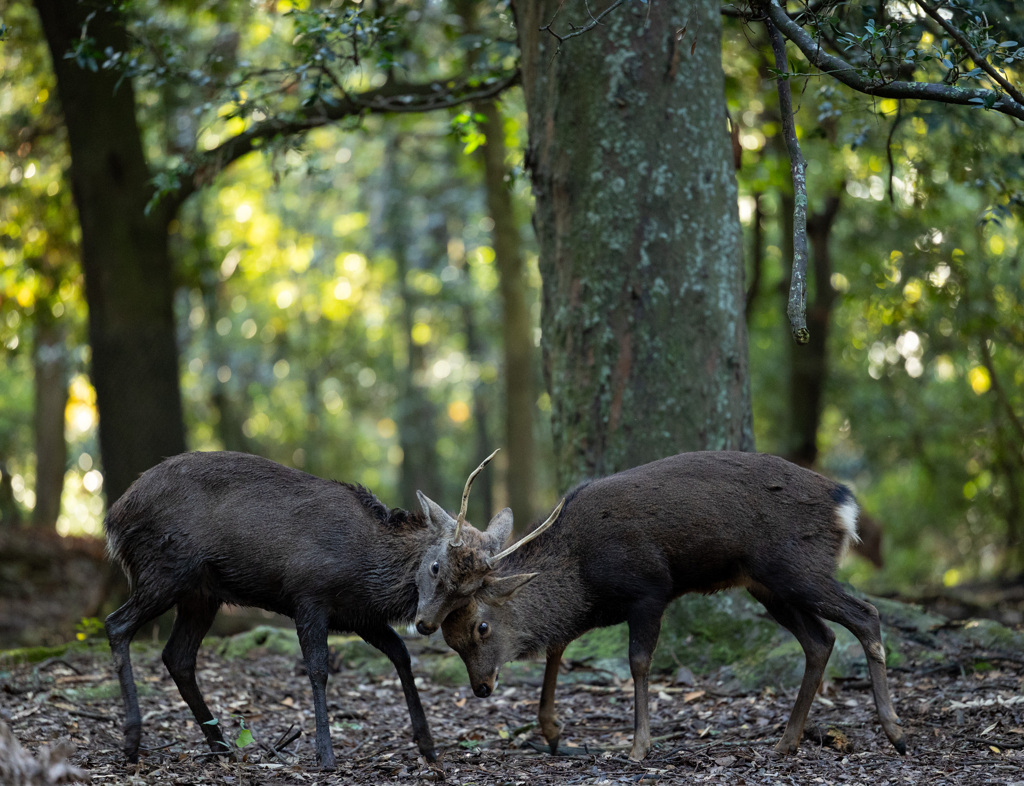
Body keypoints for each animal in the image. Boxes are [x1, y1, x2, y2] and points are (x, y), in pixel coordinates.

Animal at [100, 450, 507, 769]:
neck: (367, 568)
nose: (425, 624)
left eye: (473, 589)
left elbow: (402, 656)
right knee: (116, 624)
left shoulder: (360, 615)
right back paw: (133, 741)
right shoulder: (309, 595)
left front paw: (428, 747)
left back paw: (221, 746)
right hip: (165, 570)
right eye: (435, 566)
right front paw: (325, 755)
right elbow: (318, 668)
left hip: (201, 594)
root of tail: (114, 517)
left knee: (177, 656)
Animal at [436, 454, 909, 761]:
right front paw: (552, 731)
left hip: (797, 569)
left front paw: (638, 747)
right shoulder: (597, 609)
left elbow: (638, 662)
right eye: (449, 638)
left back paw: (896, 732)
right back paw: (786, 741)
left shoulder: (648, 589)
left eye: (480, 627)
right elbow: (557, 648)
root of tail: (844, 504)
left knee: (866, 615)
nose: (481, 687)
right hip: (768, 584)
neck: (582, 572)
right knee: (820, 640)